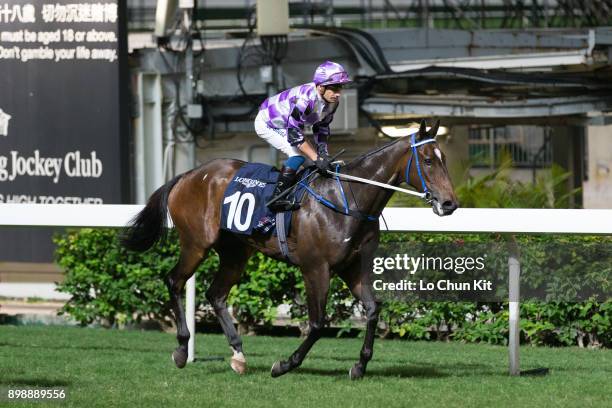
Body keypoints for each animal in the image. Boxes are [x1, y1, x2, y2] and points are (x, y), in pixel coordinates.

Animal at [124, 120, 456, 380]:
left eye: (444, 159)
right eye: (428, 160)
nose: (450, 203)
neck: (348, 199)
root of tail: (188, 174)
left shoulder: (353, 267)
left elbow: (373, 310)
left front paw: (360, 366)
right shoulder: (315, 268)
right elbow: (318, 323)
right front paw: (285, 364)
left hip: (235, 252)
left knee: (215, 294)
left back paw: (238, 355)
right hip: (196, 243)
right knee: (174, 281)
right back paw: (182, 349)